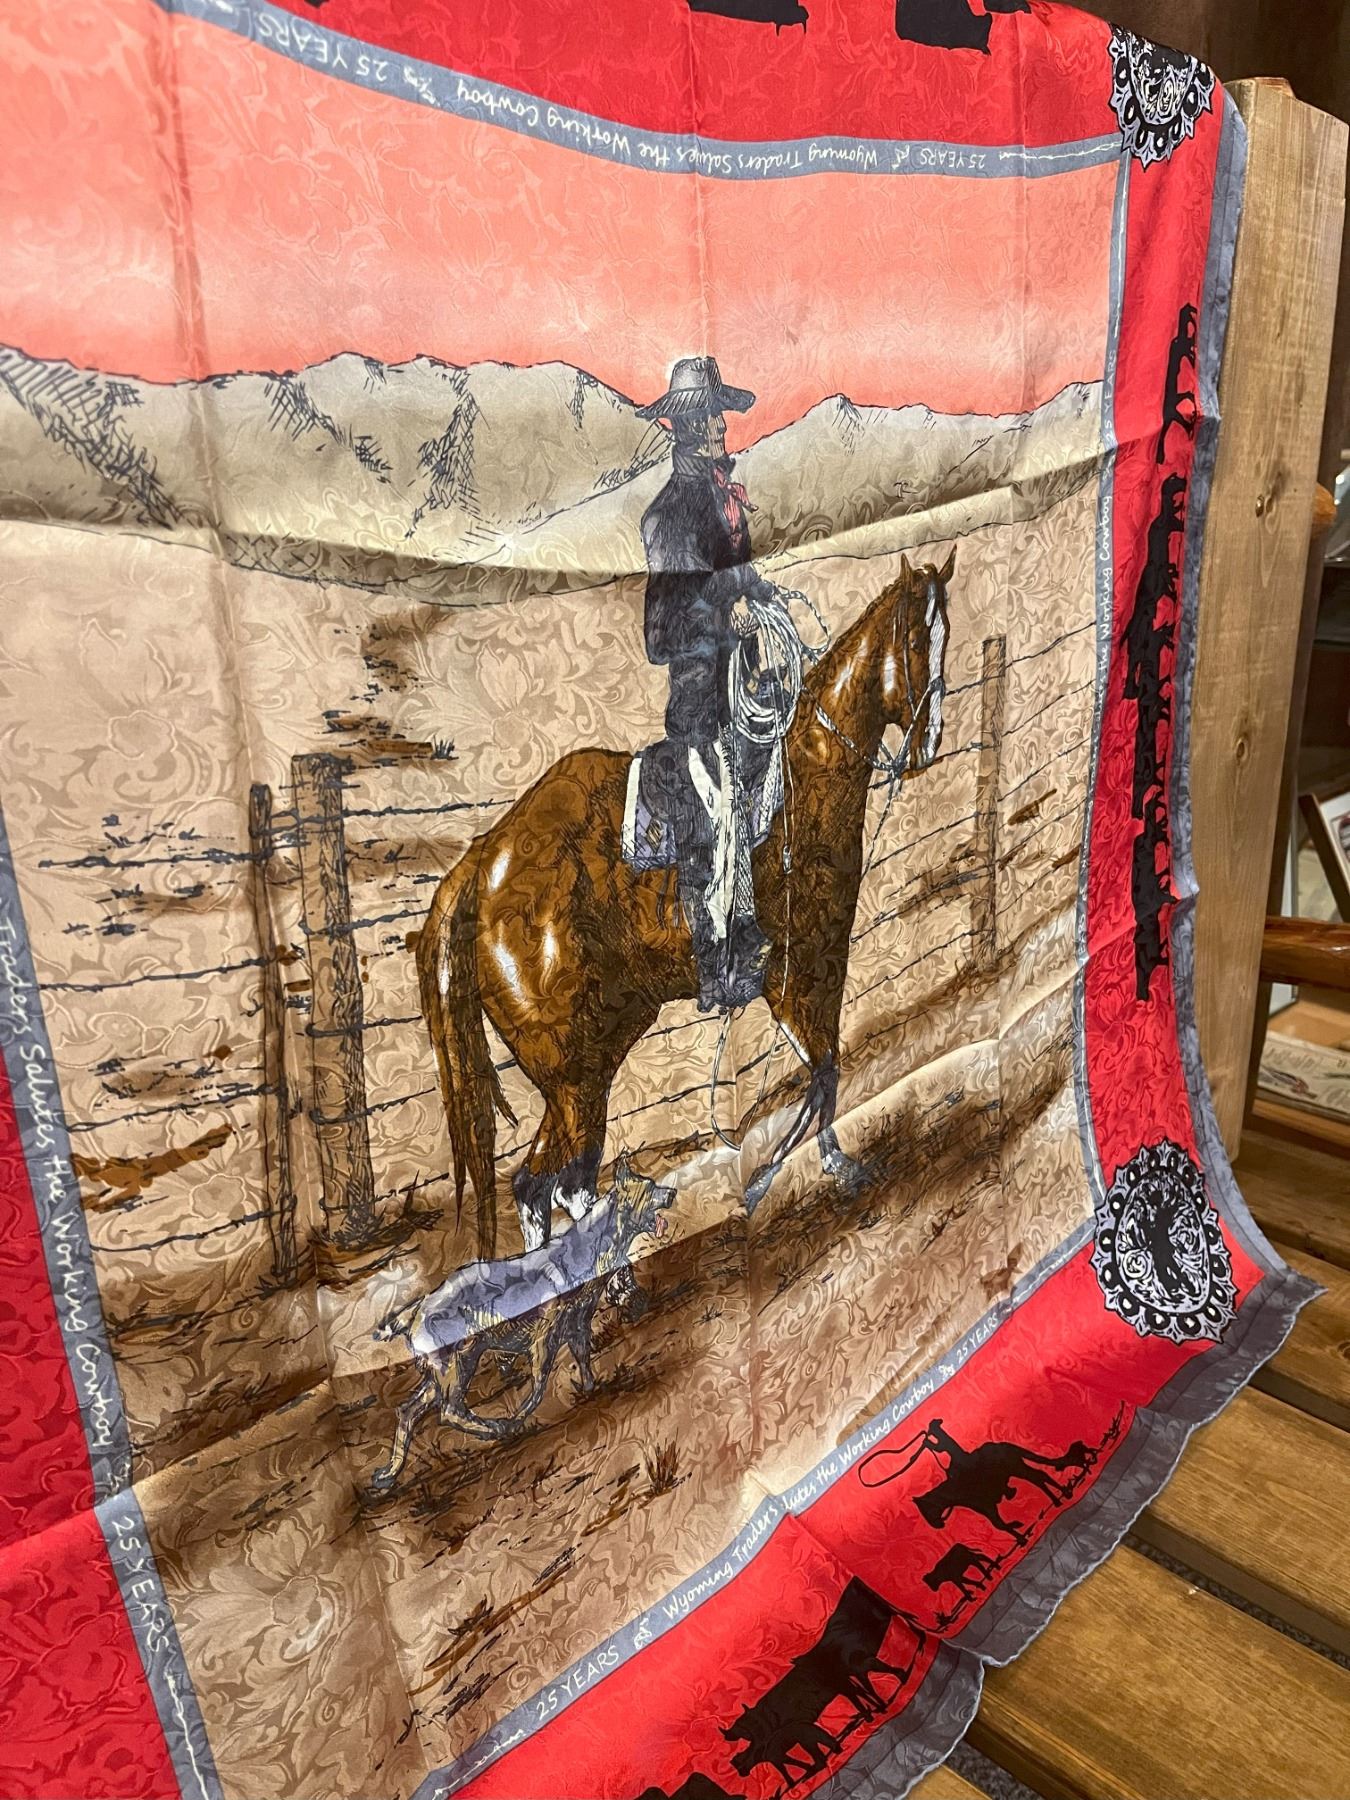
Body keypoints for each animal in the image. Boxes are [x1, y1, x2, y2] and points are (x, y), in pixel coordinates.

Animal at [416, 549, 955, 1258]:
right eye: (916, 641)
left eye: (947, 638)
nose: (927, 743)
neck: (804, 775)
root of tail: (482, 866)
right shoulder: (797, 970)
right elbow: (822, 1070)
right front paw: (782, 1177)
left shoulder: (821, 961)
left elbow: (828, 1071)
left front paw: (832, 1164)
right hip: (573, 1072)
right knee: (555, 1185)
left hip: (600, 1046)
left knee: (549, 1186)